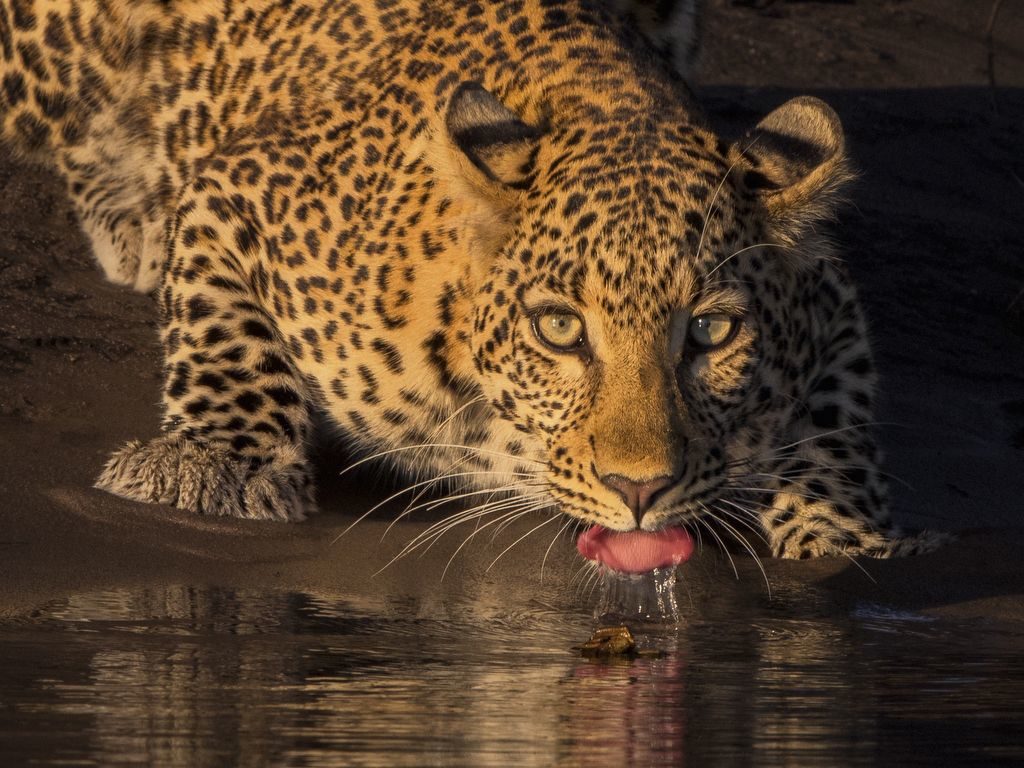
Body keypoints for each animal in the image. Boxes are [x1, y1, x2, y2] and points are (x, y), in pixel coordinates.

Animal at [0, 0, 942, 565]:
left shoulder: (827, 290)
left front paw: (840, 528)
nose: (639, 490)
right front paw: (214, 465)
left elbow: (841, 411)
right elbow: (226, 339)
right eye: (559, 328)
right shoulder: (245, 187)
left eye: (712, 333)